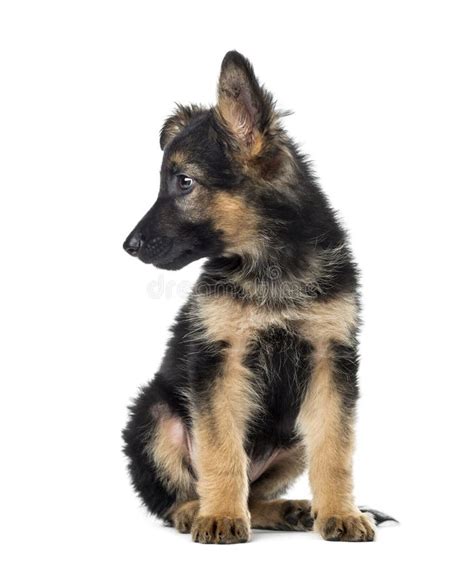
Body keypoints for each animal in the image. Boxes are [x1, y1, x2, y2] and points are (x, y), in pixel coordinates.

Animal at [122, 51, 392, 540]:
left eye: (184, 182)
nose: (127, 246)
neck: (270, 263)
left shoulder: (331, 361)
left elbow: (335, 449)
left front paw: (341, 513)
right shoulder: (218, 362)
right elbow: (220, 448)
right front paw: (220, 516)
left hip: (293, 434)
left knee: (257, 491)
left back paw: (293, 510)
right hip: (153, 414)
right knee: (174, 494)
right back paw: (195, 509)